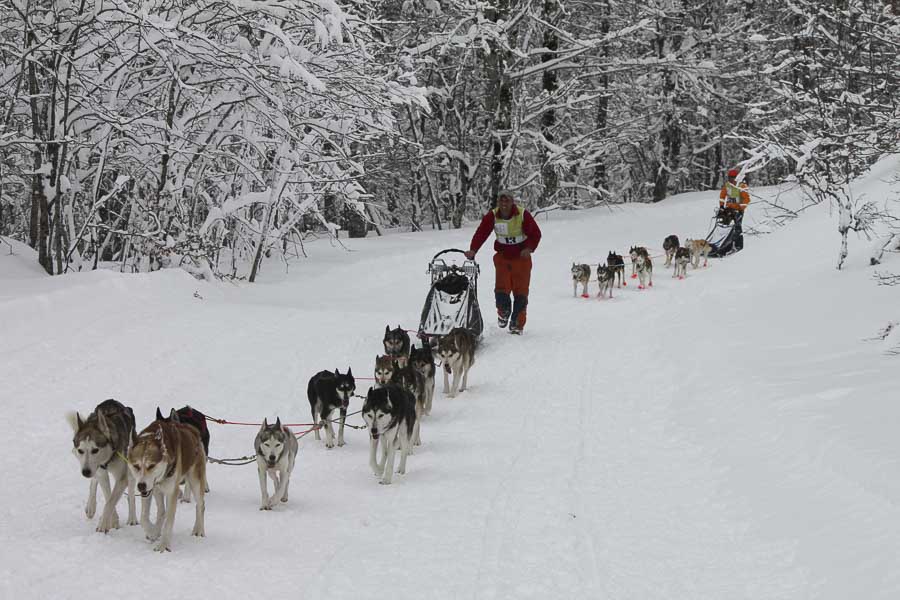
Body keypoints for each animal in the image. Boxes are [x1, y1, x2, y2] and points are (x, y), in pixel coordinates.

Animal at [66, 400, 137, 532]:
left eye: (95, 450)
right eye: (80, 450)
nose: (85, 472)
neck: (107, 458)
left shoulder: (121, 477)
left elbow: (110, 501)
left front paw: (103, 525)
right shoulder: (101, 473)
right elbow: (108, 497)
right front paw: (113, 521)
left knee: (131, 491)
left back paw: (132, 518)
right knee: (94, 482)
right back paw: (91, 507)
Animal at [127, 414, 207, 552]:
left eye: (151, 465)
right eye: (136, 466)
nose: (141, 486)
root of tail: (192, 429)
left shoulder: (171, 492)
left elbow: (169, 521)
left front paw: (163, 545)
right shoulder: (149, 491)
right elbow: (144, 517)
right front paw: (152, 532)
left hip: (195, 479)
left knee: (200, 505)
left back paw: (199, 530)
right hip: (157, 490)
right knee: (161, 511)